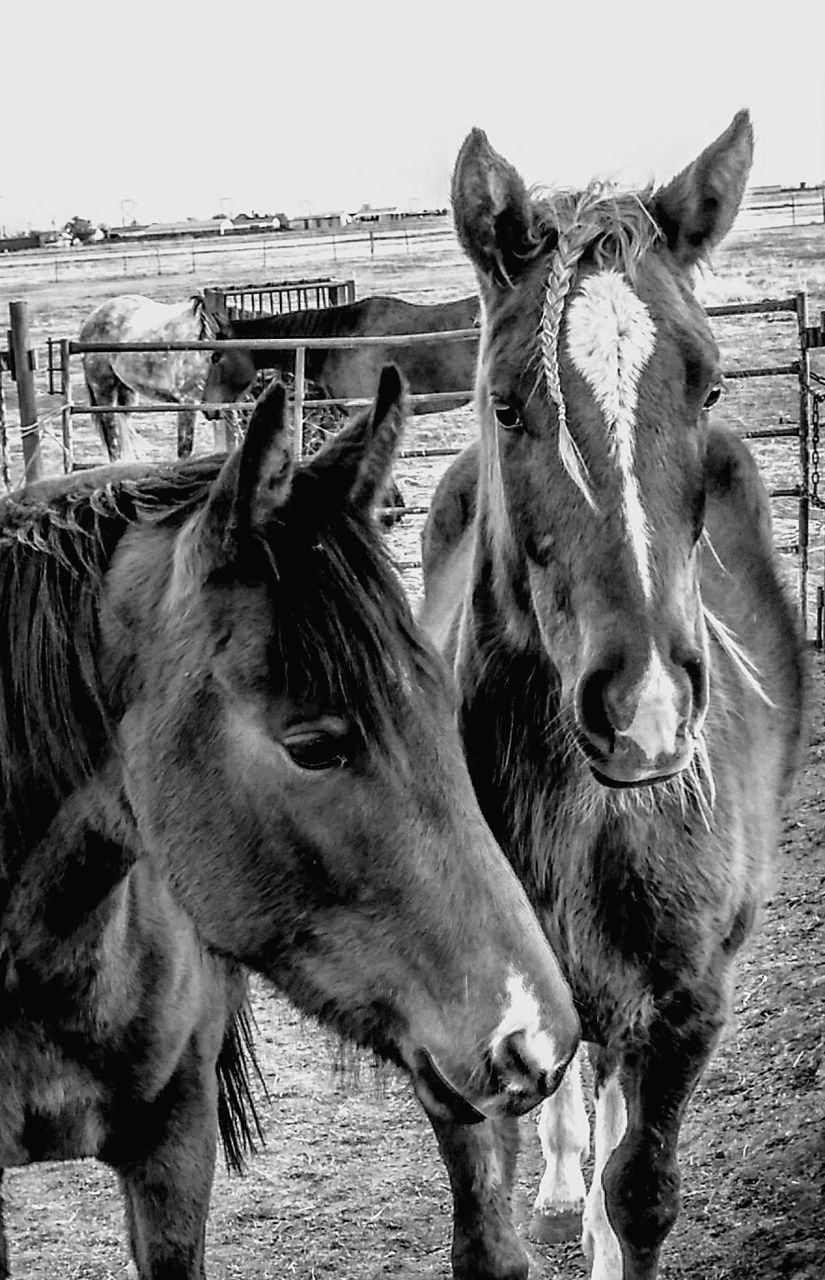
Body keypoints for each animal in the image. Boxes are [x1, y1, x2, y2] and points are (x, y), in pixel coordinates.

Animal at [79, 294, 252, 462]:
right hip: (103, 390)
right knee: (112, 435)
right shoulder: (188, 402)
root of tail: (91, 318)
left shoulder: (226, 405)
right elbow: (184, 449)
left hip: (126, 391)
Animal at [418, 111, 807, 1280]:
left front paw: (603, 1217)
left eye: (711, 386)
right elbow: (486, 1230)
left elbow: (640, 1190)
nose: (644, 714)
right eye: (505, 404)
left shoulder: (684, 1008)